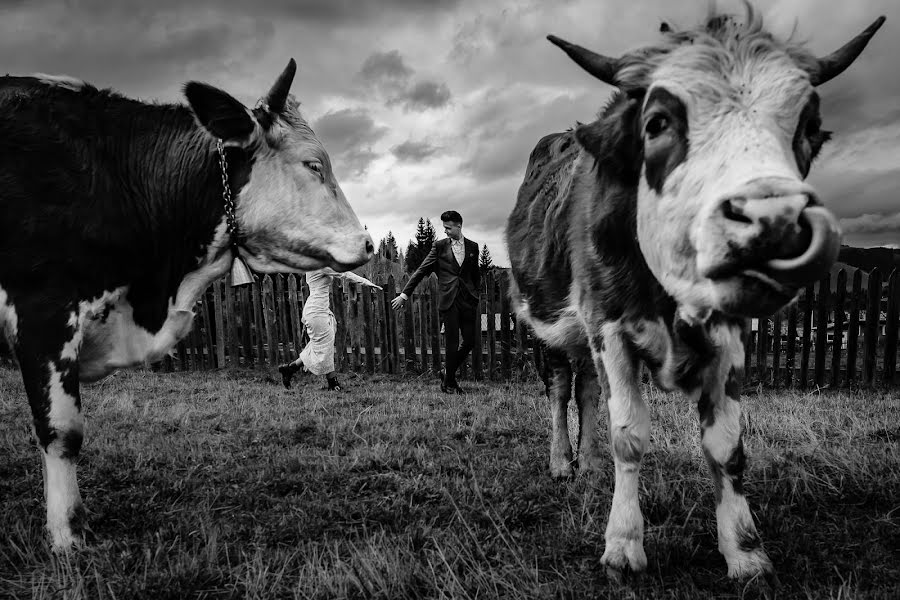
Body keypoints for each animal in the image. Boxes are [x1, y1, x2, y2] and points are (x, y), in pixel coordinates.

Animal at [506, 3, 884, 580]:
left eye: (810, 127)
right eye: (657, 122)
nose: (774, 223)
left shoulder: (730, 336)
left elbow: (726, 445)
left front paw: (744, 549)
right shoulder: (609, 325)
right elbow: (629, 435)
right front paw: (623, 543)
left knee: (587, 390)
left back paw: (589, 463)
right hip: (543, 327)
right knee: (558, 389)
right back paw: (561, 462)